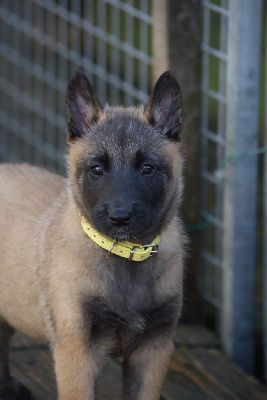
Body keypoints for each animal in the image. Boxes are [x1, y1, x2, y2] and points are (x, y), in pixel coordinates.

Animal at [0, 72, 184, 400]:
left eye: (147, 168)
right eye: (97, 169)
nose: (120, 217)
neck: (126, 255)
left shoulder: (153, 349)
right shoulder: (77, 352)